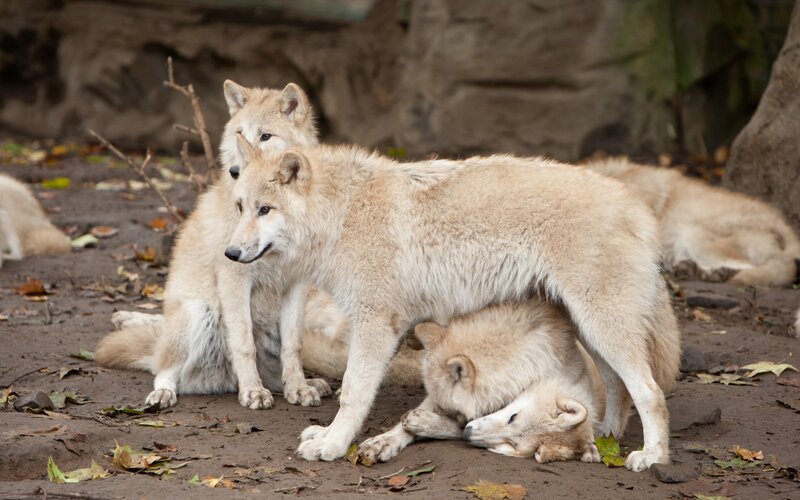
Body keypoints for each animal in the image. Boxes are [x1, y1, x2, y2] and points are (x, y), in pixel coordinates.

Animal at [357, 299, 616, 464]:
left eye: (510, 445)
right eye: (513, 416)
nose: (467, 428)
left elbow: (455, 428)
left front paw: (425, 423)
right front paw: (384, 441)